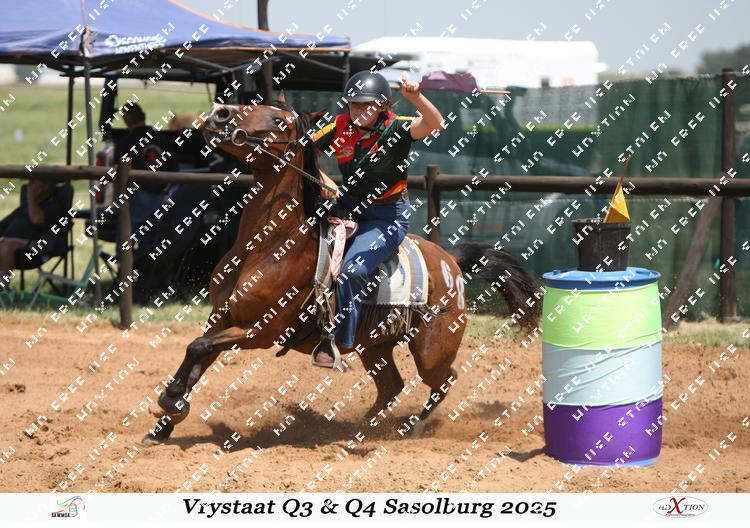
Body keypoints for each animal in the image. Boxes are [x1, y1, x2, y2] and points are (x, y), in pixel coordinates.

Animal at [142, 95, 541, 446]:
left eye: (280, 122)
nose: (220, 113)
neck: (268, 247)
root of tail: (451, 261)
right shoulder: (222, 318)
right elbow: (197, 355)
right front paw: (164, 423)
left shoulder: (259, 331)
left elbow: (196, 348)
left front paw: (170, 400)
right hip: (374, 345)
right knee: (392, 386)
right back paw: (360, 427)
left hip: (431, 350)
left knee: (443, 379)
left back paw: (412, 427)